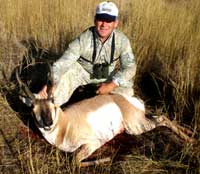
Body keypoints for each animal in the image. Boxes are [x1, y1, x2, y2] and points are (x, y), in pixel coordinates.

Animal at [15, 68, 195, 167]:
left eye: (53, 102)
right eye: (33, 107)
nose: (48, 123)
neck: (65, 124)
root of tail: (126, 99)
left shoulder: (92, 143)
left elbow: (74, 161)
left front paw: (106, 159)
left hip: (135, 127)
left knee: (163, 118)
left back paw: (190, 140)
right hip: (142, 119)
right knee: (161, 116)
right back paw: (190, 132)